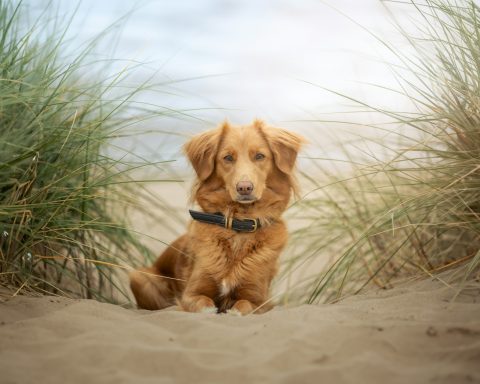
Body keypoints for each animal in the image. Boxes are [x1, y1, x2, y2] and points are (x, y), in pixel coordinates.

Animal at [129, 120, 306, 316]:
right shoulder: (192, 293)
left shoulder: (259, 301)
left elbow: (242, 306)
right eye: (228, 158)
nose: (244, 188)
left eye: (260, 156)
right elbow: (205, 305)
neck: (238, 225)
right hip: (140, 277)